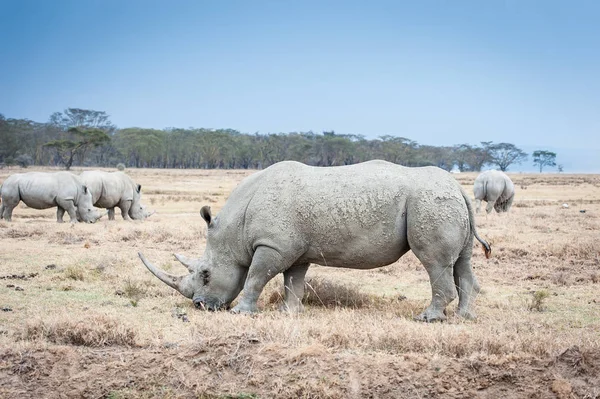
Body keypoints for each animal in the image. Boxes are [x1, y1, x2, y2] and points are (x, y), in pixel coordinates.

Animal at [141, 159, 492, 322]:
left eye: (205, 274)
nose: (199, 306)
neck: (233, 229)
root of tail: (458, 187)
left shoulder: (272, 245)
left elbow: (255, 277)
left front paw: (242, 313)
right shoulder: (294, 250)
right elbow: (292, 282)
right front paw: (288, 313)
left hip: (429, 202)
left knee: (434, 262)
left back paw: (427, 318)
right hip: (446, 202)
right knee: (461, 262)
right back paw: (464, 317)